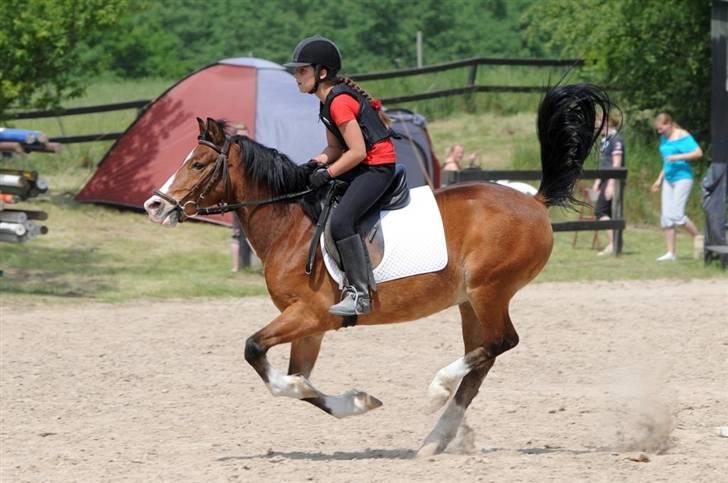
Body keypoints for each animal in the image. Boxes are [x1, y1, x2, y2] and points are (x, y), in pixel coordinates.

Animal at [142, 83, 608, 458]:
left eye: (198, 165)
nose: (154, 206)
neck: (290, 224)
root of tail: (533, 201)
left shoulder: (310, 314)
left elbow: (257, 352)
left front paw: (351, 399)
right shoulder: (310, 325)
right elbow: (296, 379)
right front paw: (356, 402)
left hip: (489, 289)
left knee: (502, 342)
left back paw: (437, 390)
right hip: (469, 302)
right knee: (483, 360)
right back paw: (435, 439)